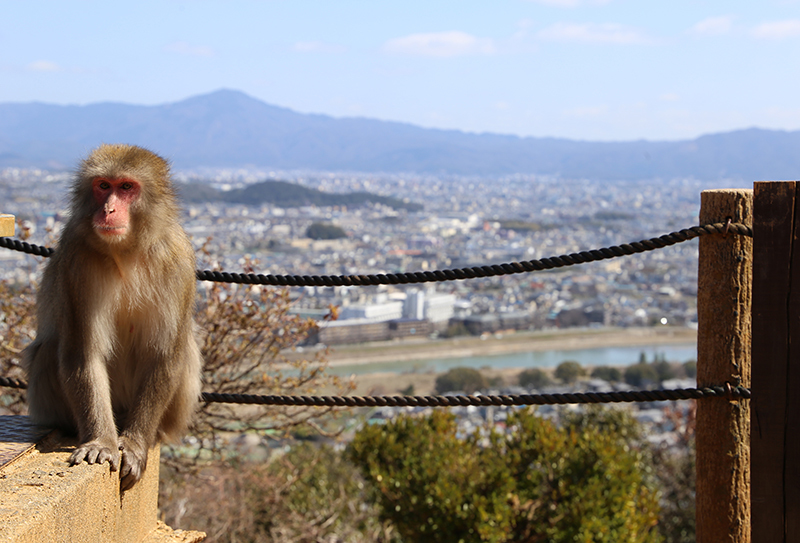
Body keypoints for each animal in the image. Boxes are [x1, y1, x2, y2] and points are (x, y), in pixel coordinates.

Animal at [23, 144, 202, 491]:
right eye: (103, 186)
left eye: (127, 187)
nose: (108, 210)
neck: (126, 250)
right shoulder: (77, 260)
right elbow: (83, 353)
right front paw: (101, 443)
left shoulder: (178, 259)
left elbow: (163, 355)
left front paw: (133, 444)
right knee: (52, 348)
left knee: (184, 351)